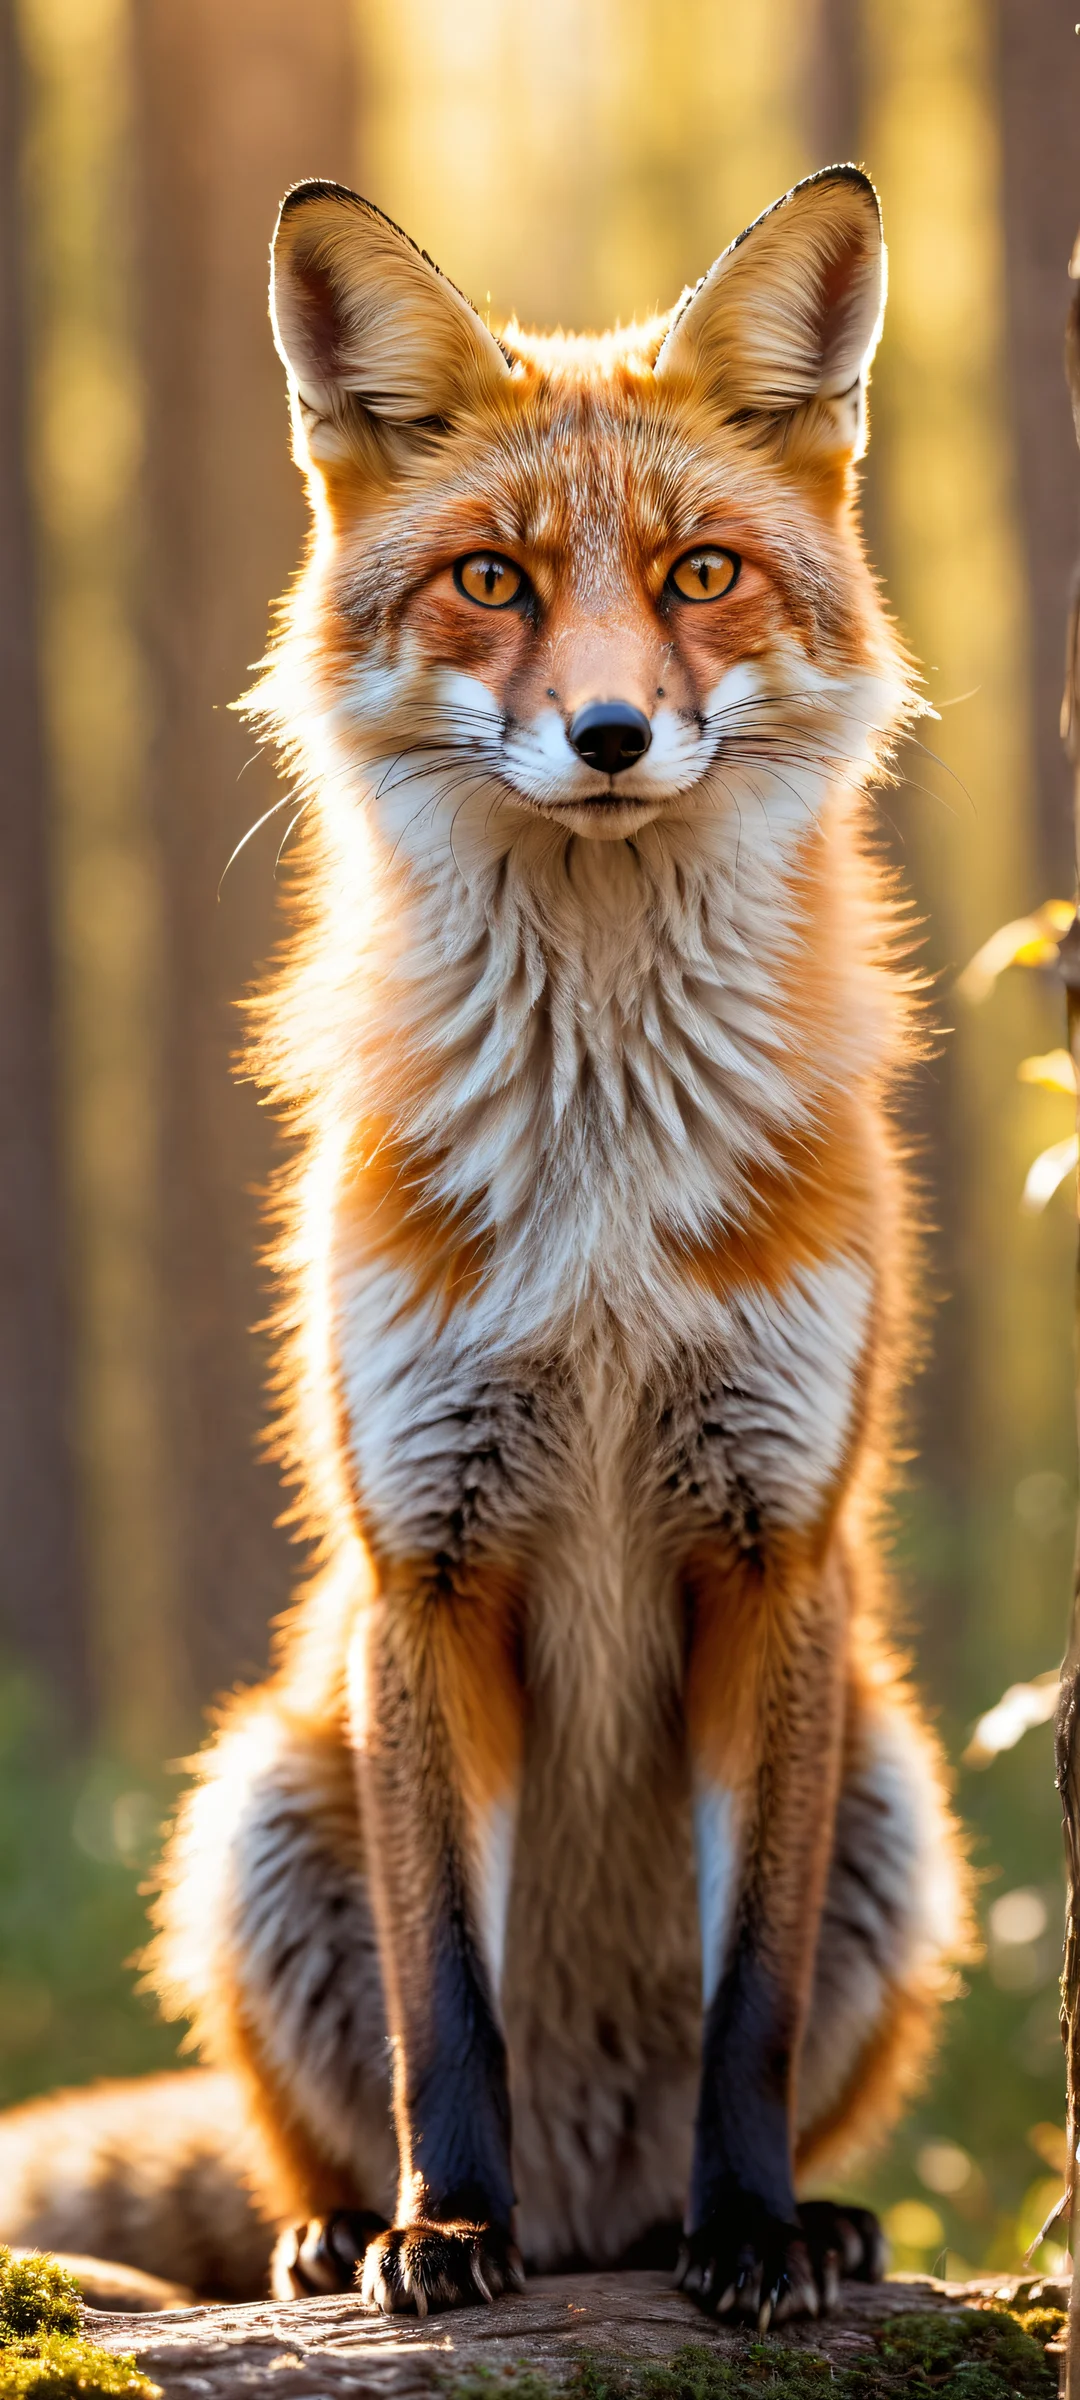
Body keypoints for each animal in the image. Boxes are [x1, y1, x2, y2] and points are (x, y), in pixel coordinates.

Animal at [0, 165, 969, 2327]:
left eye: (701, 575)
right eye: (496, 584)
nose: (609, 735)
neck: (597, 1193)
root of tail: (600, 2199)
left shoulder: (778, 1544)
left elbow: (751, 1996)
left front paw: (755, 2236)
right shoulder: (424, 1557)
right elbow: (448, 1992)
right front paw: (446, 2229)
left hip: (892, 1784)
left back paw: (792, 2220)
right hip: (257, 1796)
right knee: (308, 2130)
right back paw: (345, 2229)